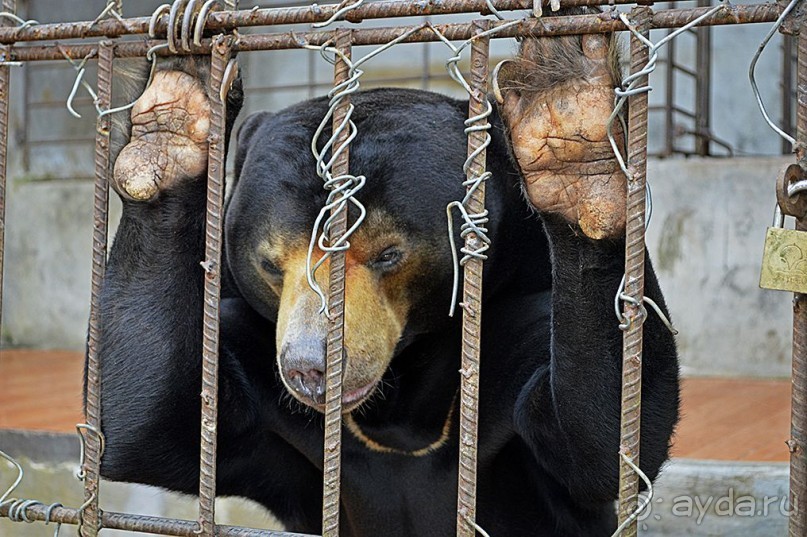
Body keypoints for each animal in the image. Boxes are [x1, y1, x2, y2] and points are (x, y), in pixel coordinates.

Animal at [98, 21, 684, 536]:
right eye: (269, 262)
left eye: (387, 254)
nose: (310, 367)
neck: (397, 401)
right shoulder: (257, 366)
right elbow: (154, 426)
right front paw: (178, 106)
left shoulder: (521, 330)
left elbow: (601, 443)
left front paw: (570, 126)